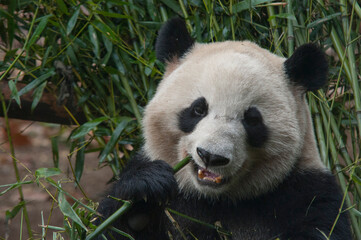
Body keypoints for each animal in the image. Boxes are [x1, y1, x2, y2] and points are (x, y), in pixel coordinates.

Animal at [96, 18, 352, 240]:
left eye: (252, 120)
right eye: (198, 109)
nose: (211, 156)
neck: (213, 198)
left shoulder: (306, 194)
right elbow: (111, 225)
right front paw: (145, 189)